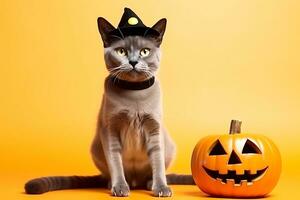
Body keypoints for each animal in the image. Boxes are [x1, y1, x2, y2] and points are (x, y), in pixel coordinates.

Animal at [24, 7, 195, 197]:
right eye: (121, 51)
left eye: (145, 51)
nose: (133, 61)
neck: (134, 95)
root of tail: (135, 181)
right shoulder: (110, 129)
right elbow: (115, 162)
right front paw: (119, 187)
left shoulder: (154, 129)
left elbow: (157, 163)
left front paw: (161, 188)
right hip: (95, 147)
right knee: (109, 173)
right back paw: (110, 184)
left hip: (169, 145)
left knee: (154, 172)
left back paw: (149, 183)